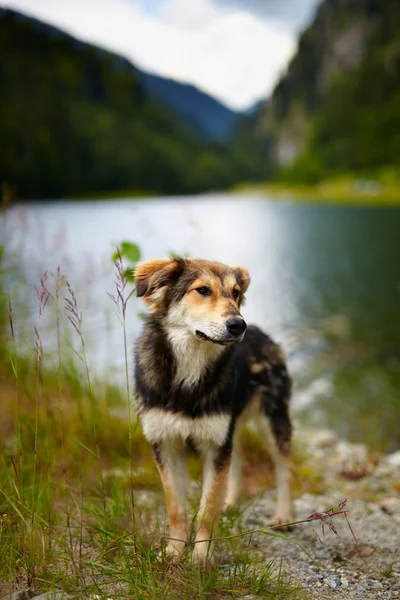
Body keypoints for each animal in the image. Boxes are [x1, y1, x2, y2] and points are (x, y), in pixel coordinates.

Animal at [134, 256, 294, 564]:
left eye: (235, 293)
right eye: (202, 290)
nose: (238, 325)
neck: (189, 374)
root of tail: (264, 335)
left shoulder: (215, 444)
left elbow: (206, 511)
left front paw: (200, 558)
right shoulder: (166, 444)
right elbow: (175, 507)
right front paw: (174, 552)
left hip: (271, 420)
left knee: (284, 468)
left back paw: (283, 516)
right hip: (233, 426)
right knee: (239, 459)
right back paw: (229, 502)